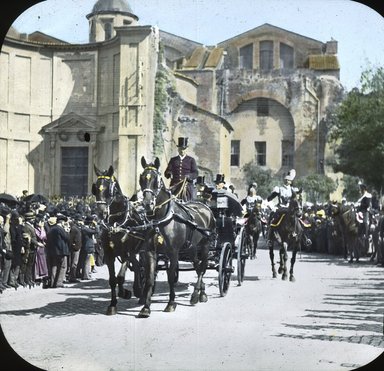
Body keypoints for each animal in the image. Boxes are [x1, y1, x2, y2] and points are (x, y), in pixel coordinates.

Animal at [138, 158, 216, 318]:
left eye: (156, 180)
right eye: (142, 178)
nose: (147, 204)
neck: (162, 219)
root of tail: (205, 206)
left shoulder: (173, 253)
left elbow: (170, 277)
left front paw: (171, 303)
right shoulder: (150, 252)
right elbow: (150, 278)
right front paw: (146, 307)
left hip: (205, 245)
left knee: (203, 268)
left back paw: (196, 294)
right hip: (192, 248)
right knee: (197, 266)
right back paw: (201, 293)